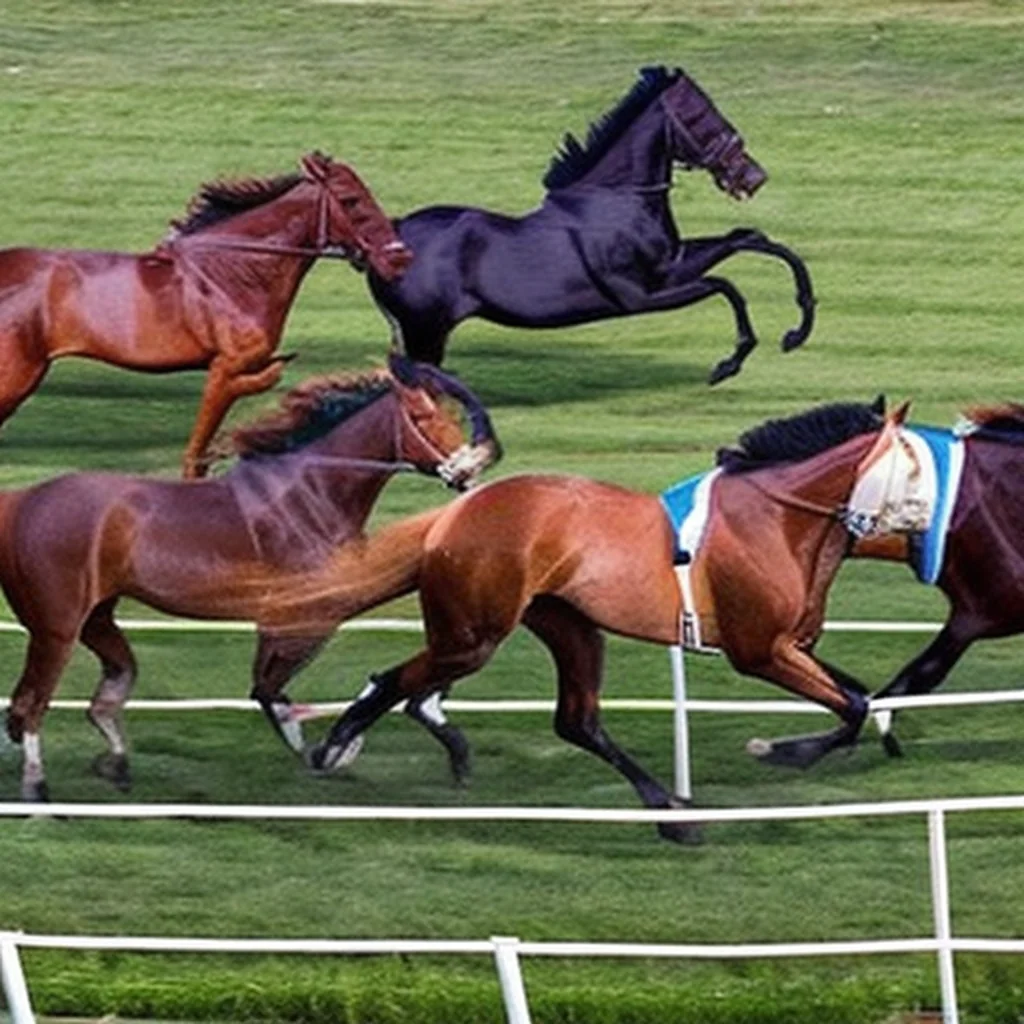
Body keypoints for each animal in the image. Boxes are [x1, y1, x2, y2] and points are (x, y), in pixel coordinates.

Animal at [0, 151, 412, 478]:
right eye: (352, 201)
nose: (399, 257)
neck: (236, 272)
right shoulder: (225, 366)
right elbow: (203, 441)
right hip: (18, 375)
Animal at [0, 354, 501, 801]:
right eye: (422, 417)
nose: (470, 468)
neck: (310, 495)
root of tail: (20, 501)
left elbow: (268, 689)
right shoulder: (305, 612)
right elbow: (270, 689)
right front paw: (333, 748)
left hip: (96, 617)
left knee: (102, 689)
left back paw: (115, 764)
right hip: (57, 627)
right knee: (31, 703)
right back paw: (37, 791)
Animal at [368, 66, 815, 384]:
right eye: (699, 117)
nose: (754, 177)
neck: (618, 200)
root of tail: (390, 236)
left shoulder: (671, 269)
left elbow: (747, 239)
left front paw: (799, 328)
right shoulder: (638, 297)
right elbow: (726, 286)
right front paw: (731, 361)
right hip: (426, 333)